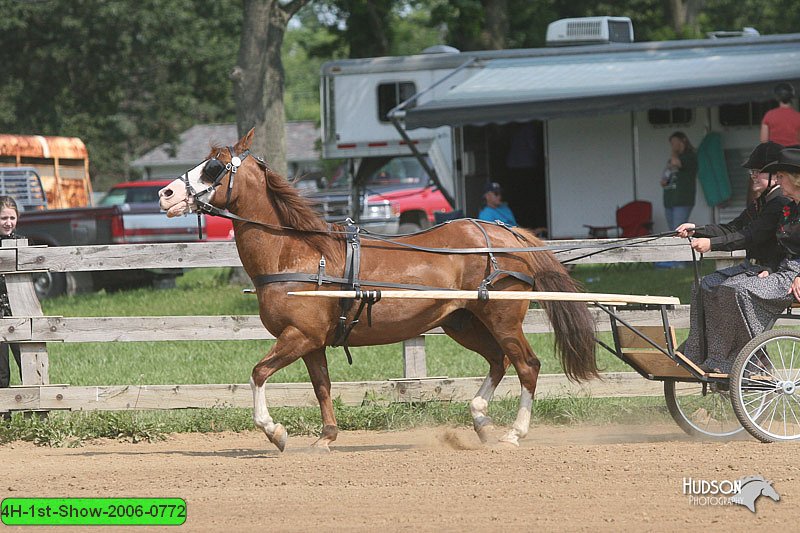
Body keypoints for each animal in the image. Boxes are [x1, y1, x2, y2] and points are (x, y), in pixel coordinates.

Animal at [159, 129, 596, 448]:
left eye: (214, 167)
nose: (165, 193)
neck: (297, 253)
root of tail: (507, 234)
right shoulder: (312, 342)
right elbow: (321, 387)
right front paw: (326, 438)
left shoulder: (298, 336)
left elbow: (258, 373)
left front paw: (275, 431)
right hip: (462, 322)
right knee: (497, 361)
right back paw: (480, 419)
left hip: (502, 319)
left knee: (527, 365)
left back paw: (513, 433)